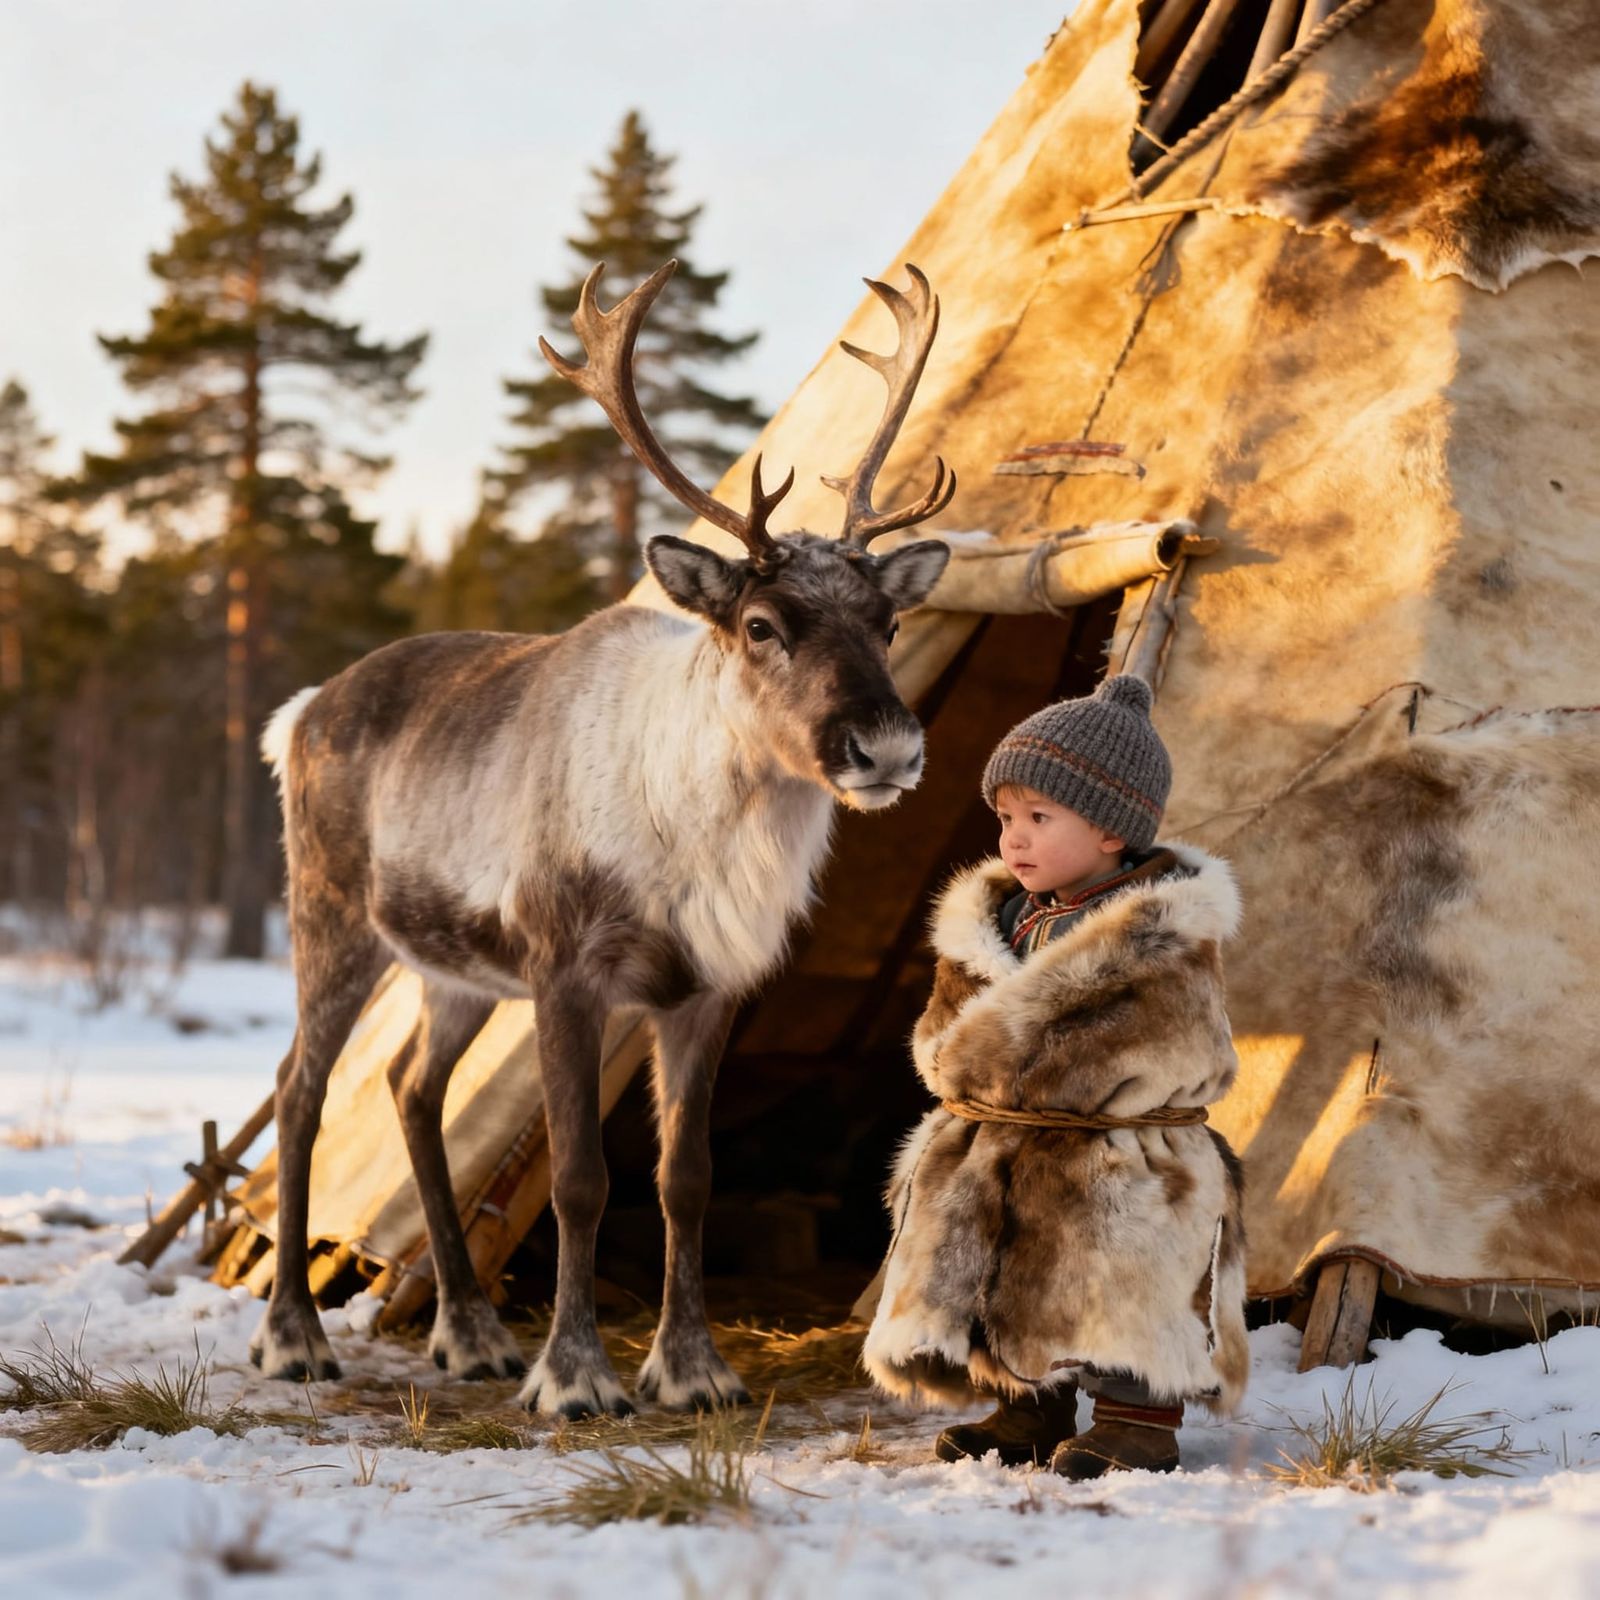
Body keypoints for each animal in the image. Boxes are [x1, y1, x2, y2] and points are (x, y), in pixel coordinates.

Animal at [250, 260, 955, 1417]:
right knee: (298, 1092)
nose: (886, 745)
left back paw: (471, 1334)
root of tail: (300, 709)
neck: (699, 839)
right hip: (332, 918)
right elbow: (582, 1179)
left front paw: (694, 1369)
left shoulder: (708, 986)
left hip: (454, 972)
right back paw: (296, 1339)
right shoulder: (566, 969)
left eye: (888, 623)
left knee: (409, 1086)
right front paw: (577, 1376)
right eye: (760, 624)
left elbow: (686, 1179)